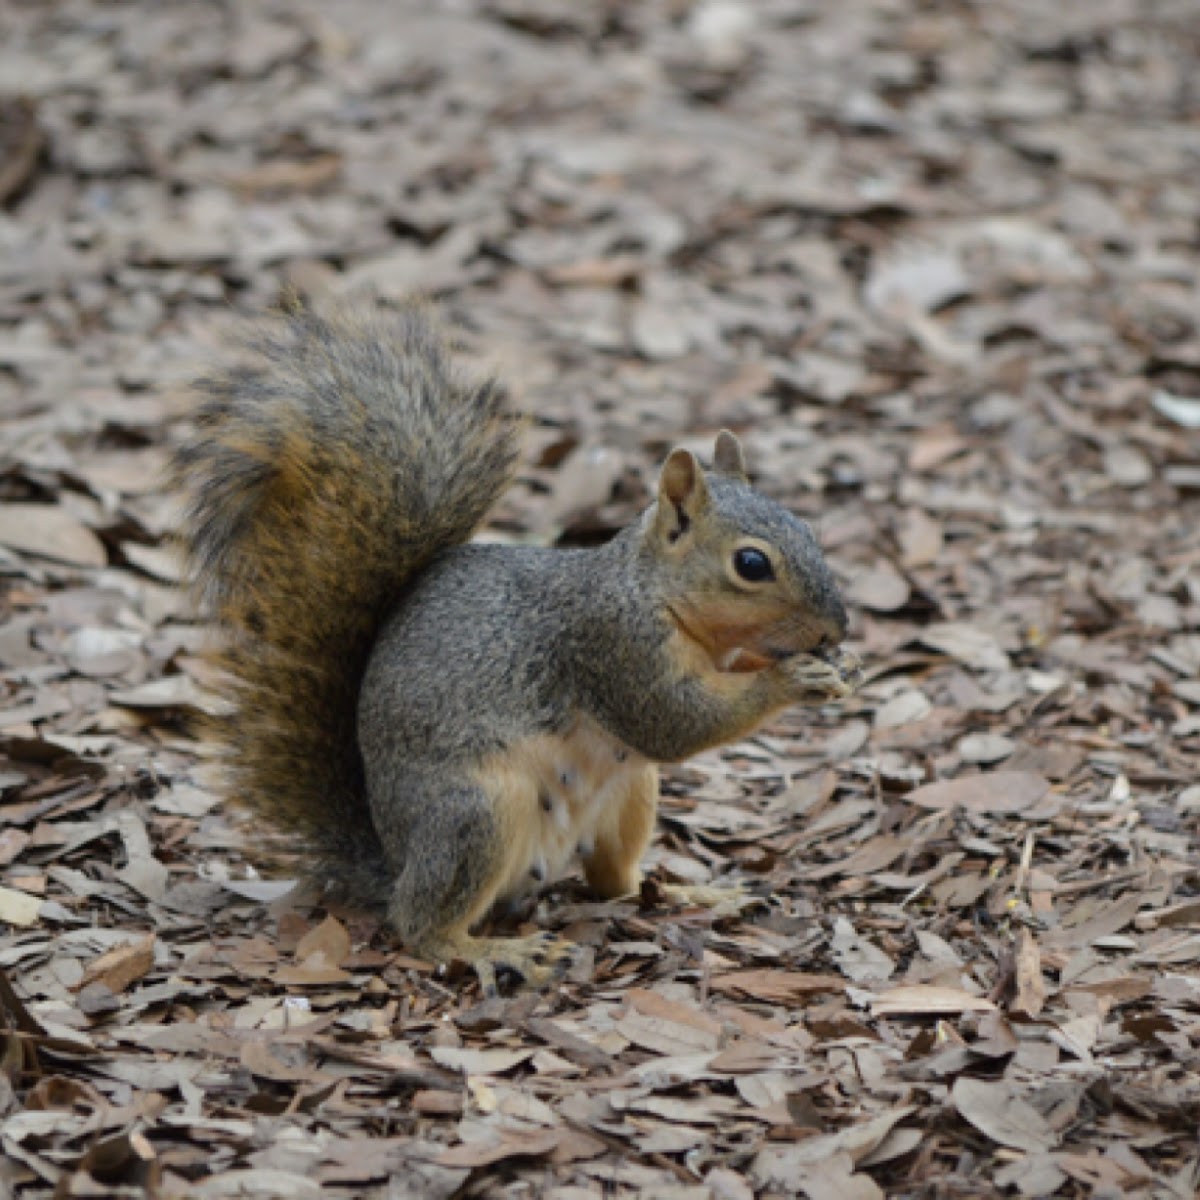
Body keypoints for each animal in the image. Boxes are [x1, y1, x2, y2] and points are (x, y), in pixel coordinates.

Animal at [174, 297, 859, 993]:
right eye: (751, 564)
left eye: (808, 528)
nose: (837, 629)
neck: (651, 591)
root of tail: (394, 856)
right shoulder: (613, 646)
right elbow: (673, 723)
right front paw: (791, 680)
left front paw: (836, 669)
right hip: (476, 813)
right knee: (419, 924)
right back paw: (493, 951)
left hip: (632, 795)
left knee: (615, 884)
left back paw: (688, 893)